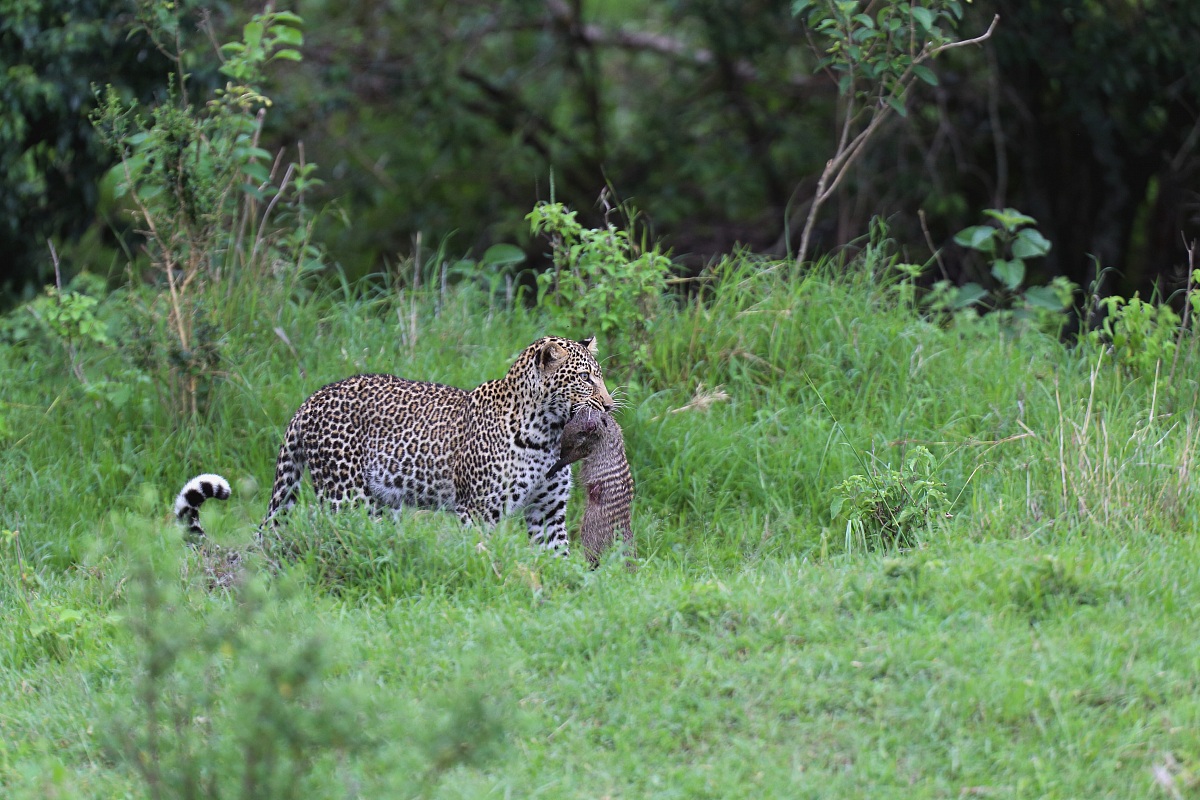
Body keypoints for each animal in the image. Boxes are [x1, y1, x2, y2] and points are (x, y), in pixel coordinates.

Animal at [174, 336, 614, 555]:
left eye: (600, 376)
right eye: (585, 379)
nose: (610, 405)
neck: (547, 432)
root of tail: (310, 400)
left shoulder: (548, 511)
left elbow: (557, 557)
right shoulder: (478, 511)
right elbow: (482, 555)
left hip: (381, 503)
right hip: (345, 495)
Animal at [549, 407, 635, 569]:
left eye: (581, 432)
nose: (590, 426)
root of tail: (623, 524)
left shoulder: (588, 445)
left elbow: (574, 455)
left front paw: (554, 467)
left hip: (592, 526)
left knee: (593, 553)